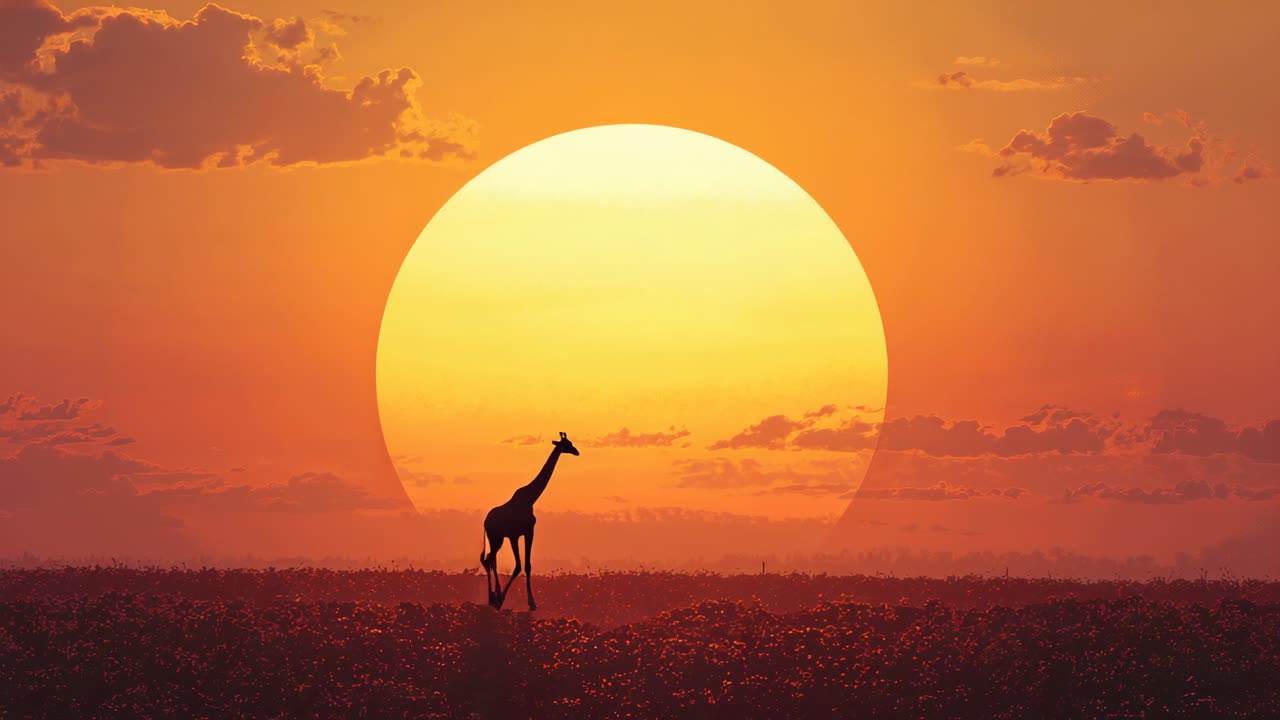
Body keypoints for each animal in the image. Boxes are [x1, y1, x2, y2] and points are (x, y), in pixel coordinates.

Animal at [480, 431, 579, 610]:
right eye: (567, 444)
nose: (577, 451)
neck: (530, 499)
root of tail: (485, 521)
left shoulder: (528, 532)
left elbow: (527, 565)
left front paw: (530, 602)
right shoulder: (515, 535)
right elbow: (518, 566)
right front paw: (505, 599)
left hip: (497, 539)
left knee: (490, 560)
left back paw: (494, 595)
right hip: (495, 537)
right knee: (489, 560)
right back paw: (494, 598)